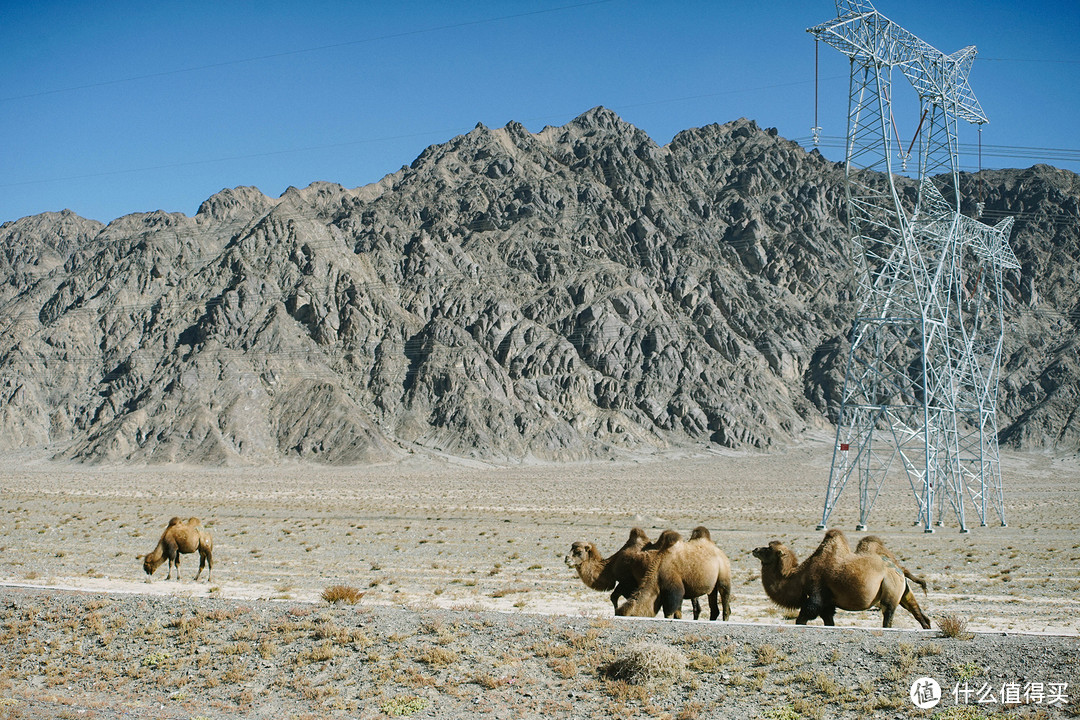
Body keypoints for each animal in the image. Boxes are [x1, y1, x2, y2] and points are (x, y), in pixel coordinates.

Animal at [751, 528, 928, 630]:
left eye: (769, 549)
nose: (755, 549)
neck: (799, 576)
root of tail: (900, 569)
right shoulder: (827, 603)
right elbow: (829, 621)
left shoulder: (816, 592)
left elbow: (804, 616)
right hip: (902, 589)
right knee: (917, 612)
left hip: (890, 588)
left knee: (888, 612)